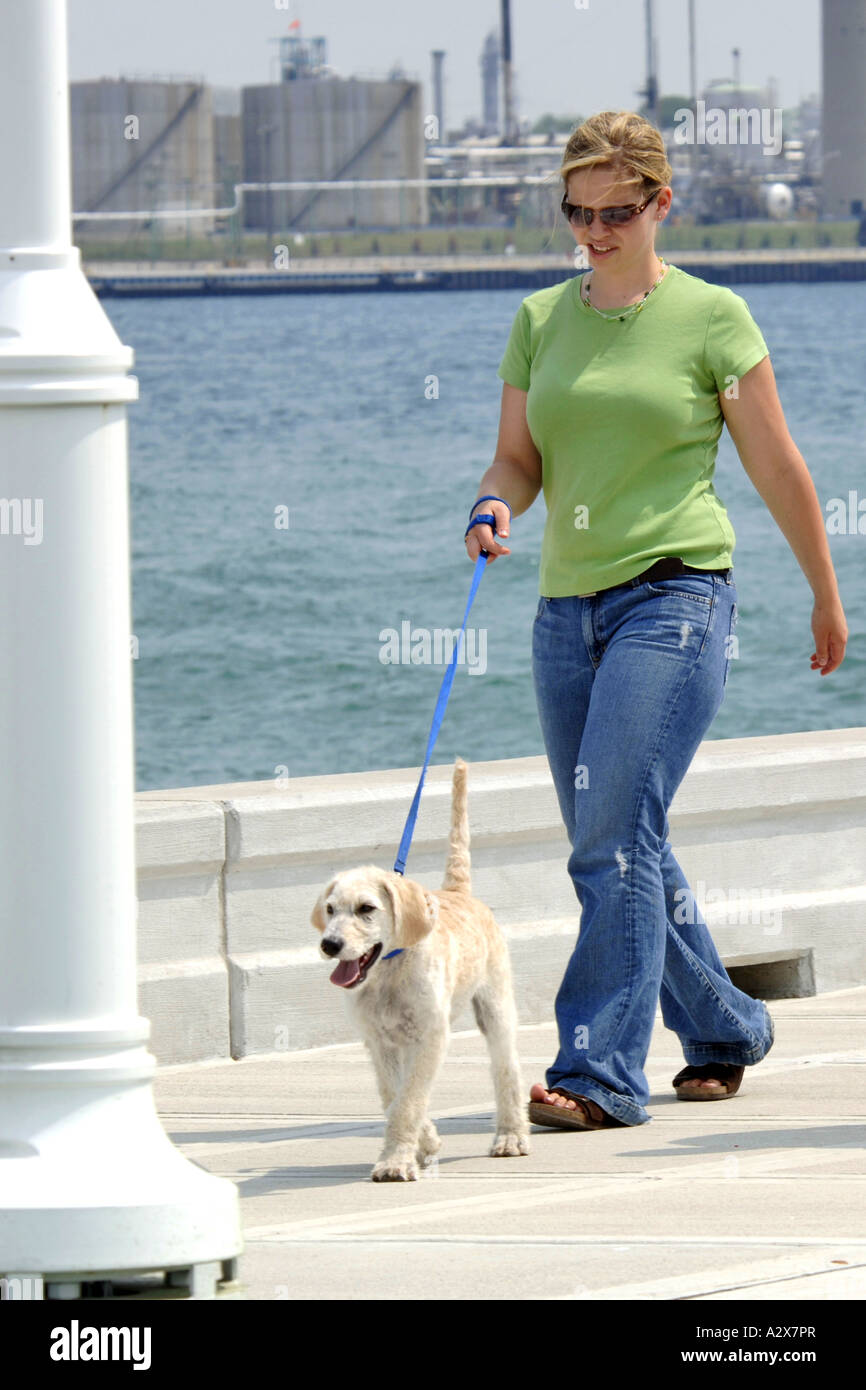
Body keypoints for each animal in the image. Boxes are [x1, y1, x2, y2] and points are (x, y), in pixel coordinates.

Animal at [311, 761, 528, 1184]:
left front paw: (395, 1161)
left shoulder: (429, 1037)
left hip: (496, 1007)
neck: (389, 973)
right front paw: (424, 1142)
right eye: (330, 909)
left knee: (506, 1070)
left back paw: (511, 1136)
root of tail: (459, 892)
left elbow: (408, 1101)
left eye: (366, 909)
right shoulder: (379, 1043)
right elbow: (394, 1097)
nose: (330, 944)